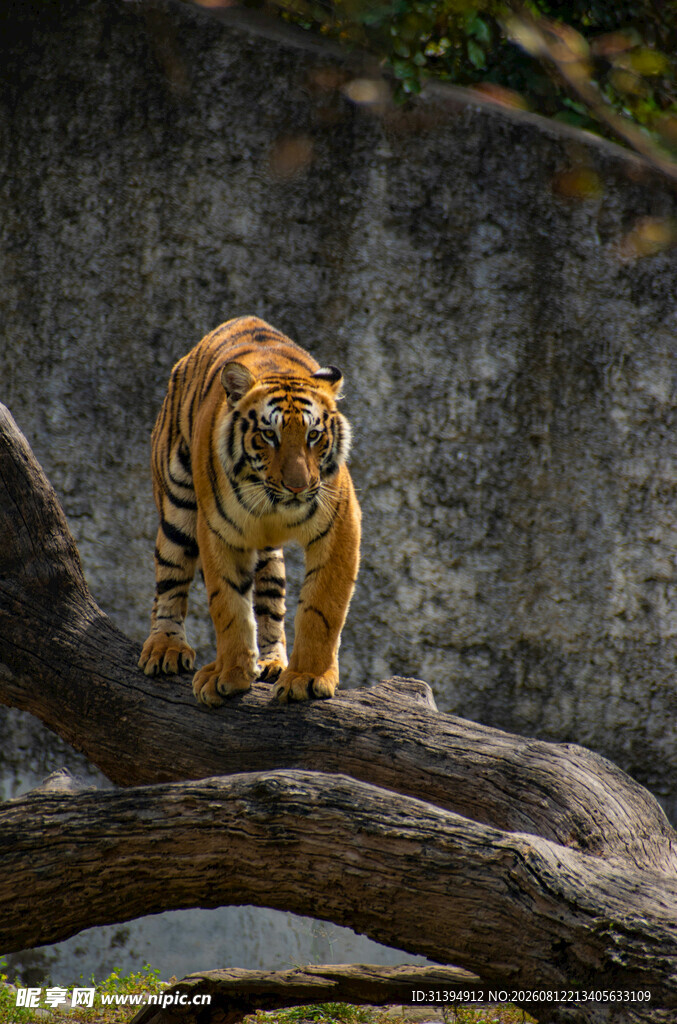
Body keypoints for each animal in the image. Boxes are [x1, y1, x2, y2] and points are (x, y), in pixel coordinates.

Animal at [138, 315, 361, 705]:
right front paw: (229, 674)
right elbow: (229, 606)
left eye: (313, 436)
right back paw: (165, 647)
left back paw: (273, 662)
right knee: (170, 580)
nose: (298, 486)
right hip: (177, 508)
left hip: (269, 557)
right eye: (269, 435)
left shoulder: (340, 524)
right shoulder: (218, 531)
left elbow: (322, 607)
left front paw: (307, 677)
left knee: (271, 603)